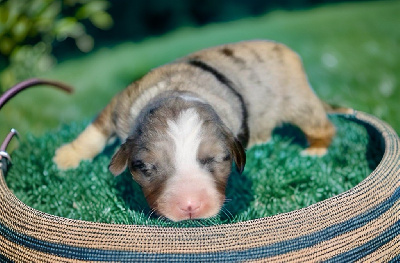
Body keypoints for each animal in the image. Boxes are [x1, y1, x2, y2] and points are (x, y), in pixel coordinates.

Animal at [54, 40, 338, 223]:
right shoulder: (120, 105)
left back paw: (316, 149)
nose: (190, 205)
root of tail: (287, 51)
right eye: (146, 167)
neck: (179, 90)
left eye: (216, 160)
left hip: (298, 101)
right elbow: (94, 133)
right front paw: (67, 157)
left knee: (322, 125)